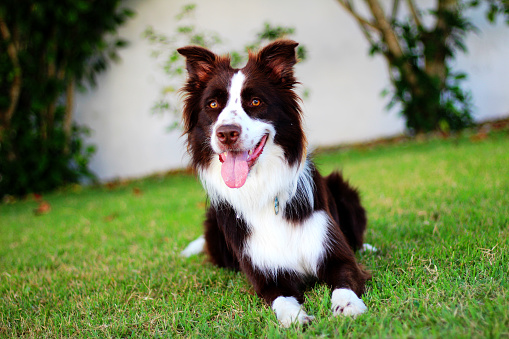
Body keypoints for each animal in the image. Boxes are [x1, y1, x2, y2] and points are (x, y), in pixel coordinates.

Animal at [181, 40, 372, 330]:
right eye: (213, 104)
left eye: (255, 101)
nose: (226, 133)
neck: (262, 189)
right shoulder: (267, 278)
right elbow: (282, 300)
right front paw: (295, 318)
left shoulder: (336, 256)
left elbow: (344, 283)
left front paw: (348, 307)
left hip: (344, 190)